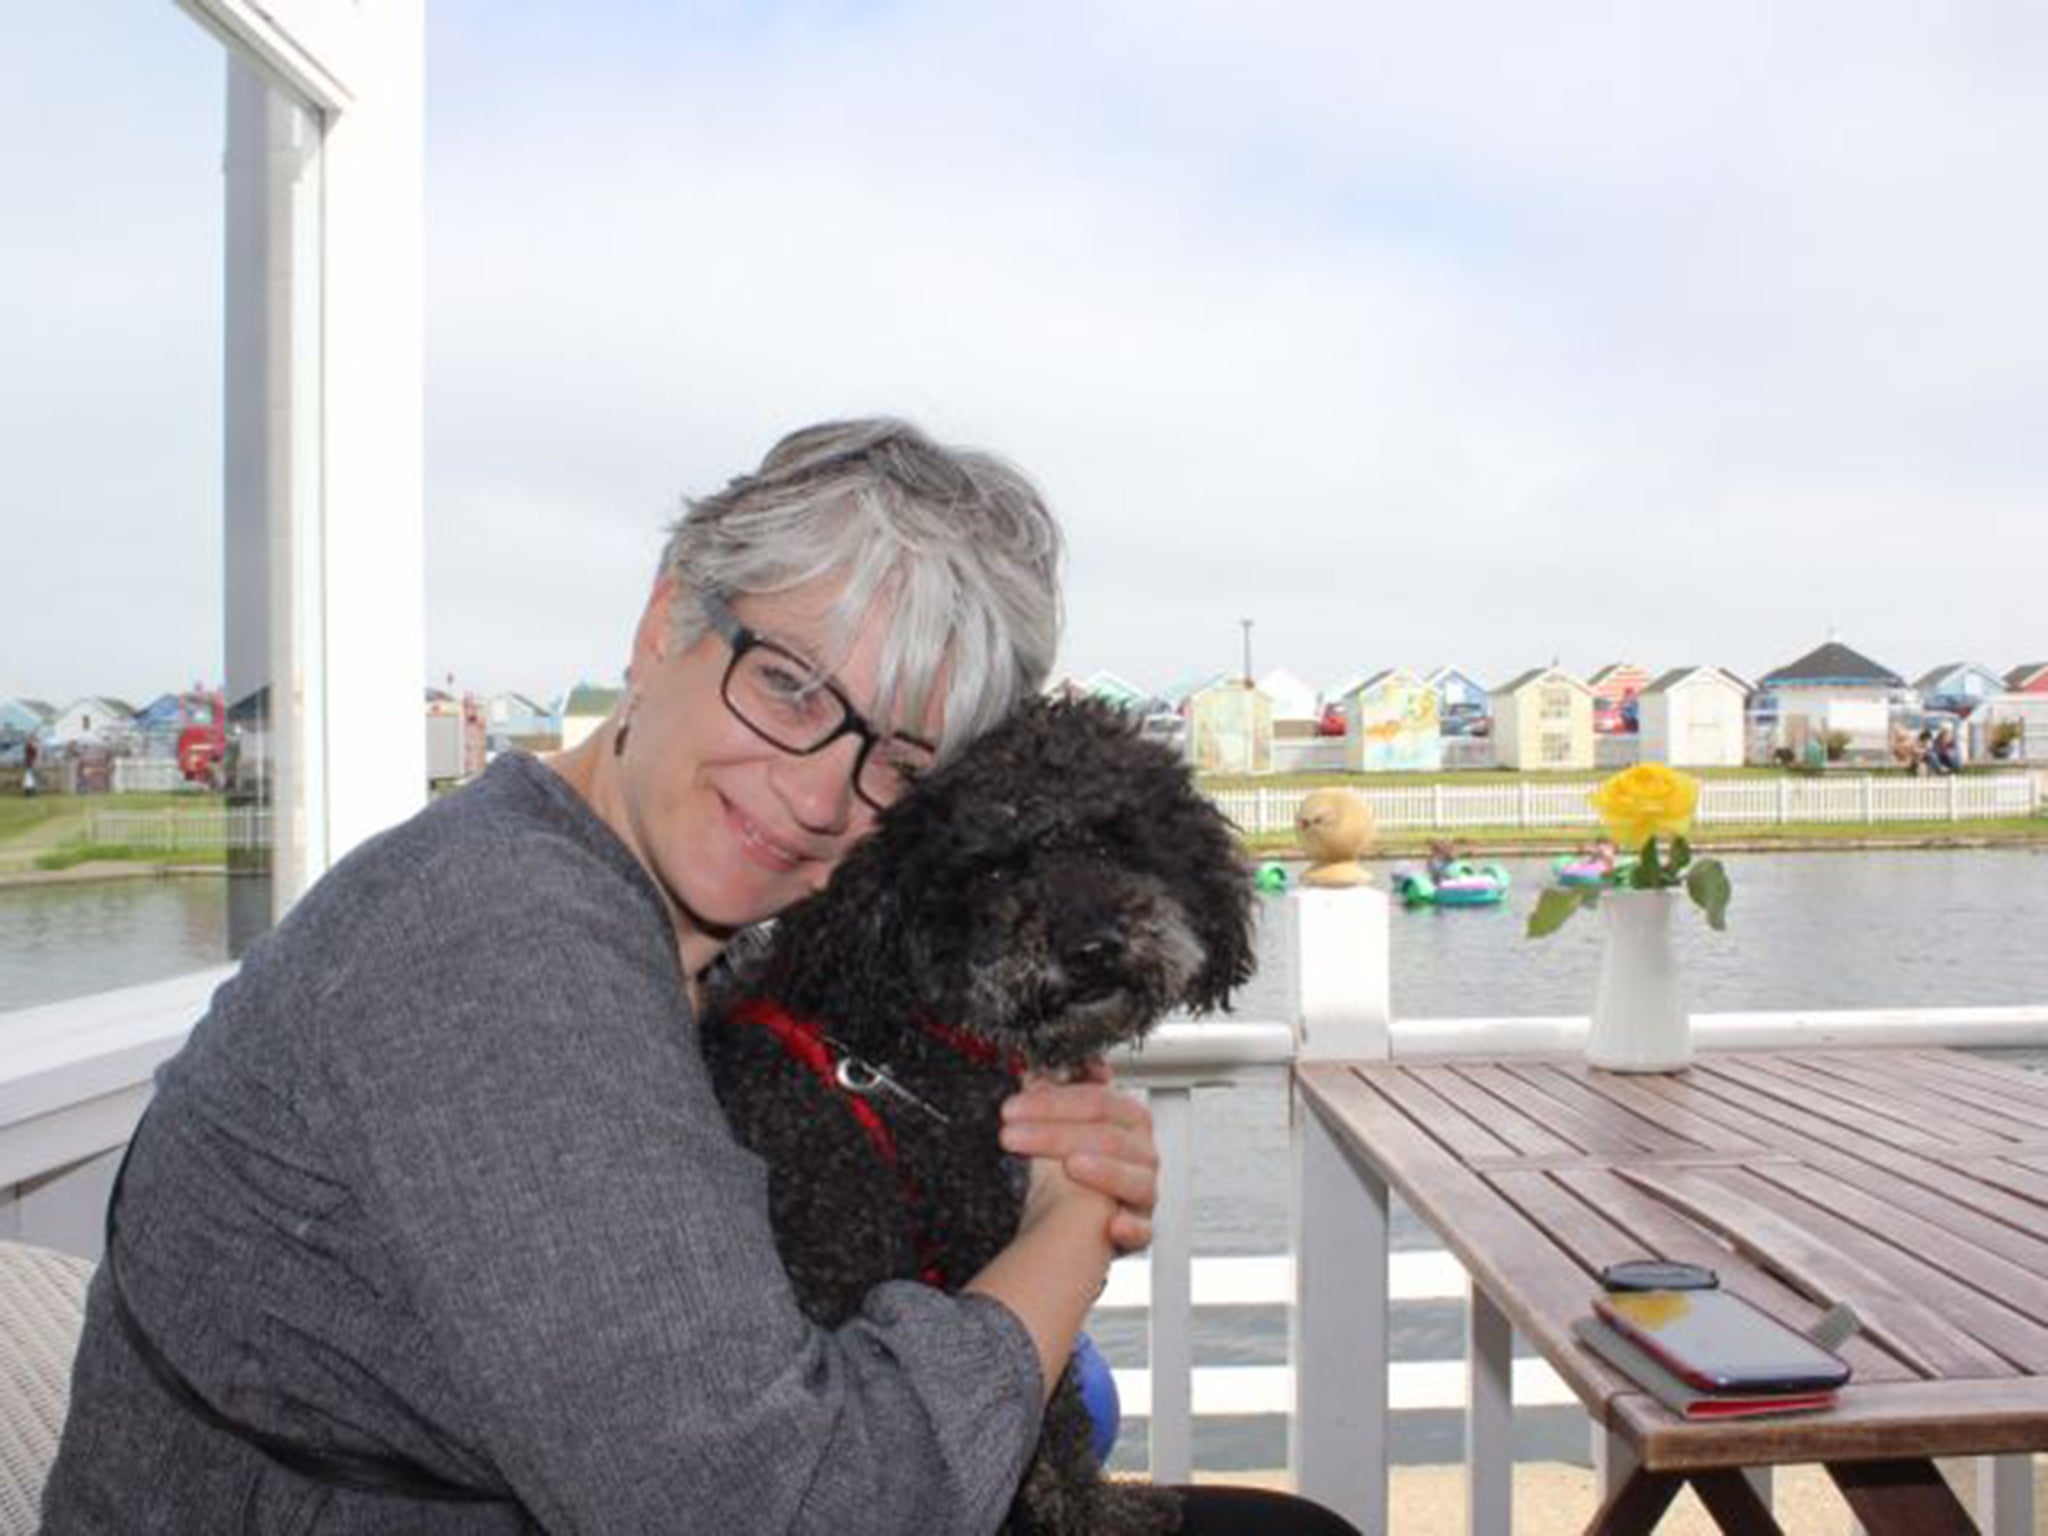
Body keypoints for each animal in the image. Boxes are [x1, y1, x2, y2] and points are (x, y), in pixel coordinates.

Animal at [704, 700, 1253, 1536]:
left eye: (1113, 837)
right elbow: (1051, 1417)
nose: (1091, 948)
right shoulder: (977, 1240)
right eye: (995, 867)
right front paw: (1094, 1511)